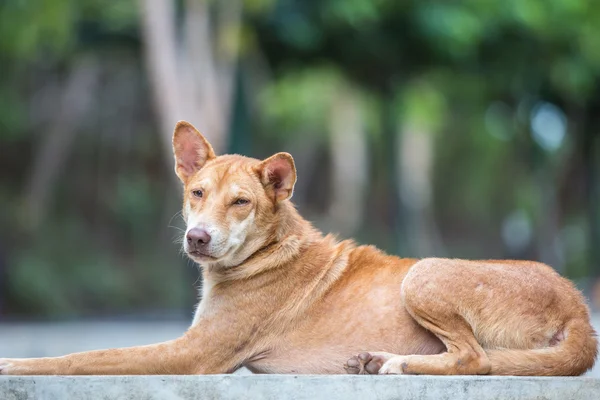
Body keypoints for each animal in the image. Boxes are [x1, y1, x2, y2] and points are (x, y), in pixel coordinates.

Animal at [2, 121, 596, 376]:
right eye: (197, 194)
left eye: (241, 202)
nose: (197, 237)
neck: (266, 252)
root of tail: (579, 309)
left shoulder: (194, 355)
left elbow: (84, 357)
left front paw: (13, 364)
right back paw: (377, 359)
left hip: (423, 273)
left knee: (476, 360)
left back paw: (396, 365)